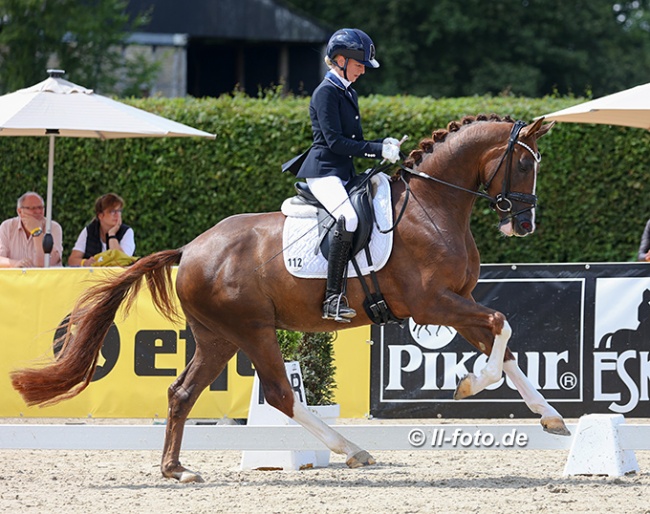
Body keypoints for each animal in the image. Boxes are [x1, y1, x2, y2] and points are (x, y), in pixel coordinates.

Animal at [10, 112, 568, 480]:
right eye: (523, 164)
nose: (523, 224)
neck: (434, 205)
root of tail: (191, 248)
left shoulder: (455, 302)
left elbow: (506, 343)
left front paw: (550, 416)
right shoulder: (432, 302)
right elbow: (500, 326)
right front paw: (470, 385)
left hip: (218, 338)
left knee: (182, 393)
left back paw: (176, 469)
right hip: (252, 330)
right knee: (279, 394)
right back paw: (352, 450)